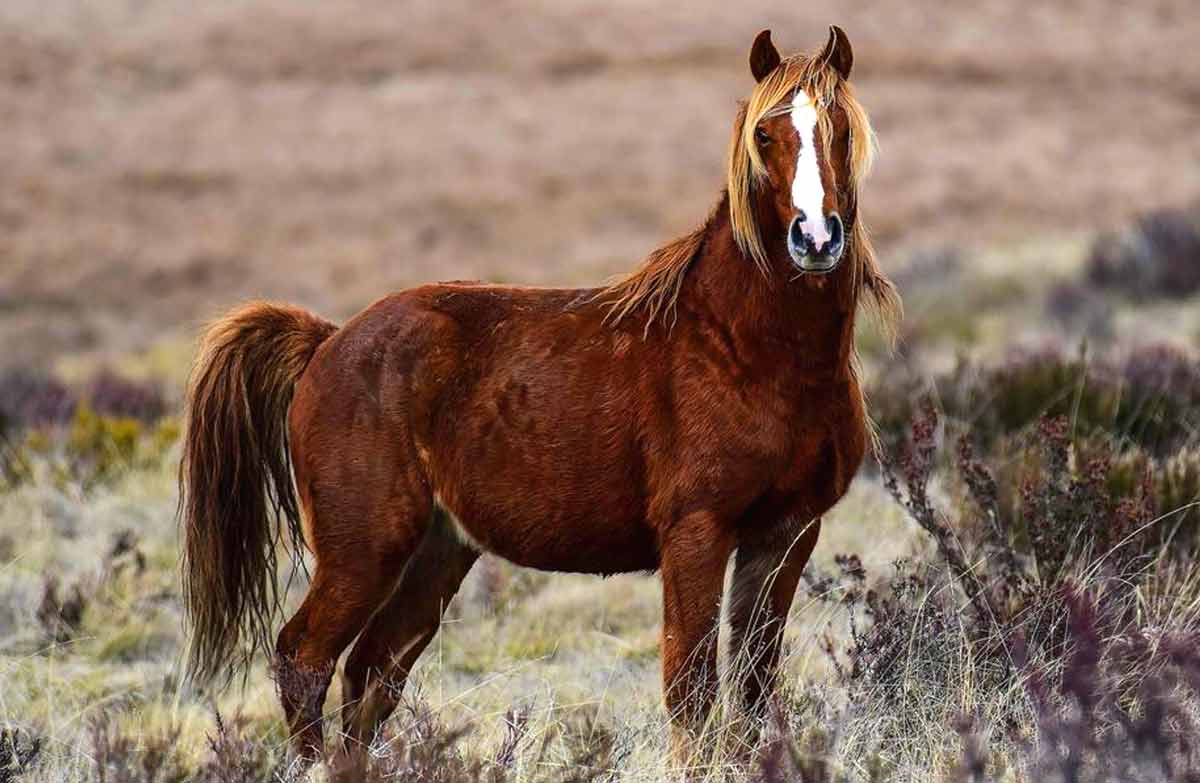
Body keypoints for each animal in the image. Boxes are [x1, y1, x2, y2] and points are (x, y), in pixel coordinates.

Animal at [179, 25, 901, 765]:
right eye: (764, 133)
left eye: (842, 128)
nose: (815, 237)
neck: (740, 346)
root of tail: (327, 341)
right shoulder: (696, 532)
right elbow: (691, 686)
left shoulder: (787, 533)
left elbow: (754, 685)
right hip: (364, 549)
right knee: (305, 658)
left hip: (439, 549)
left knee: (371, 674)